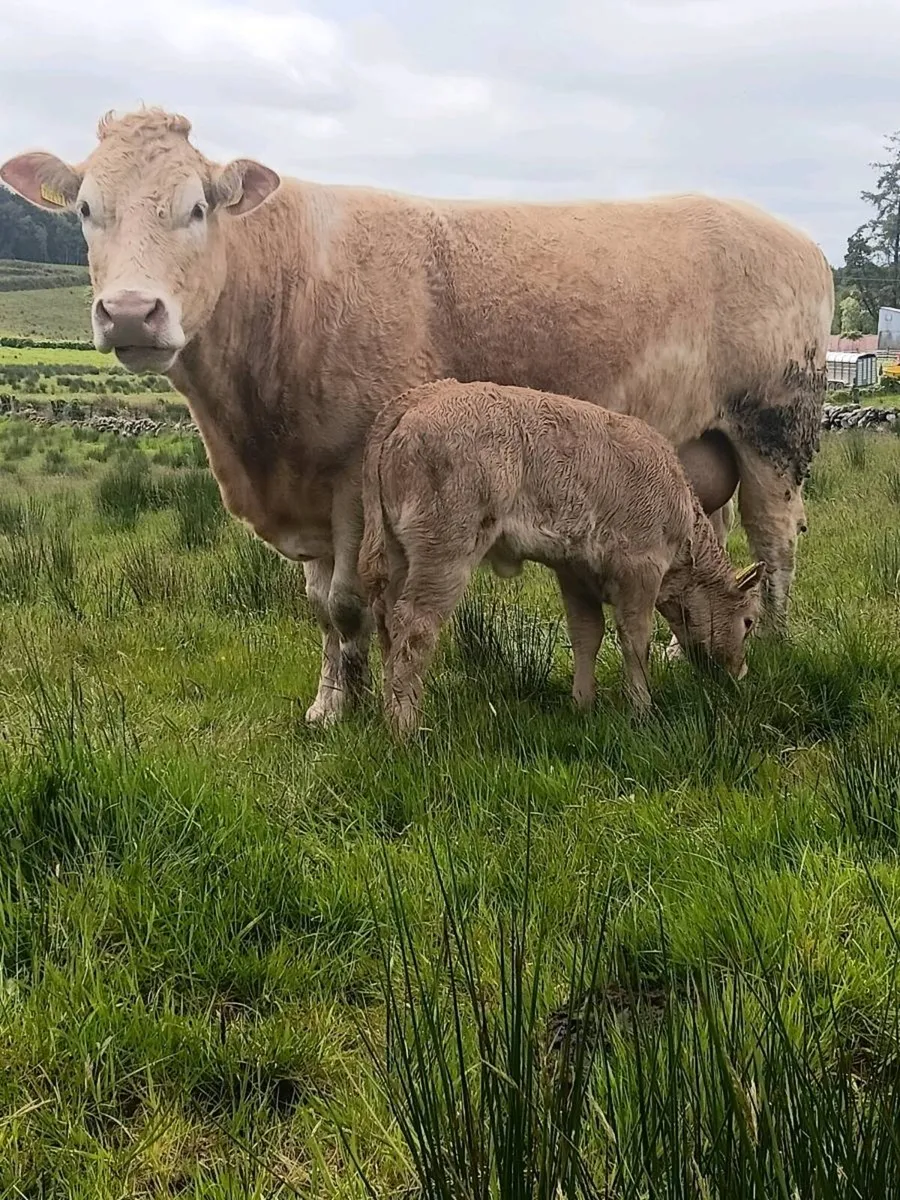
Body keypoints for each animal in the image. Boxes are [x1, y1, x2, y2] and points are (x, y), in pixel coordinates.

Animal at [357, 379, 765, 736]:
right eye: (748, 622)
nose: (742, 673)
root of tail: (420, 397)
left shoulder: (576, 573)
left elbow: (587, 635)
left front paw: (583, 703)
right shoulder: (640, 569)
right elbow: (636, 640)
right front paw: (642, 709)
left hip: (397, 555)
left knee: (387, 621)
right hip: (444, 554)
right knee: (415, 626)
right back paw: (407, 728)